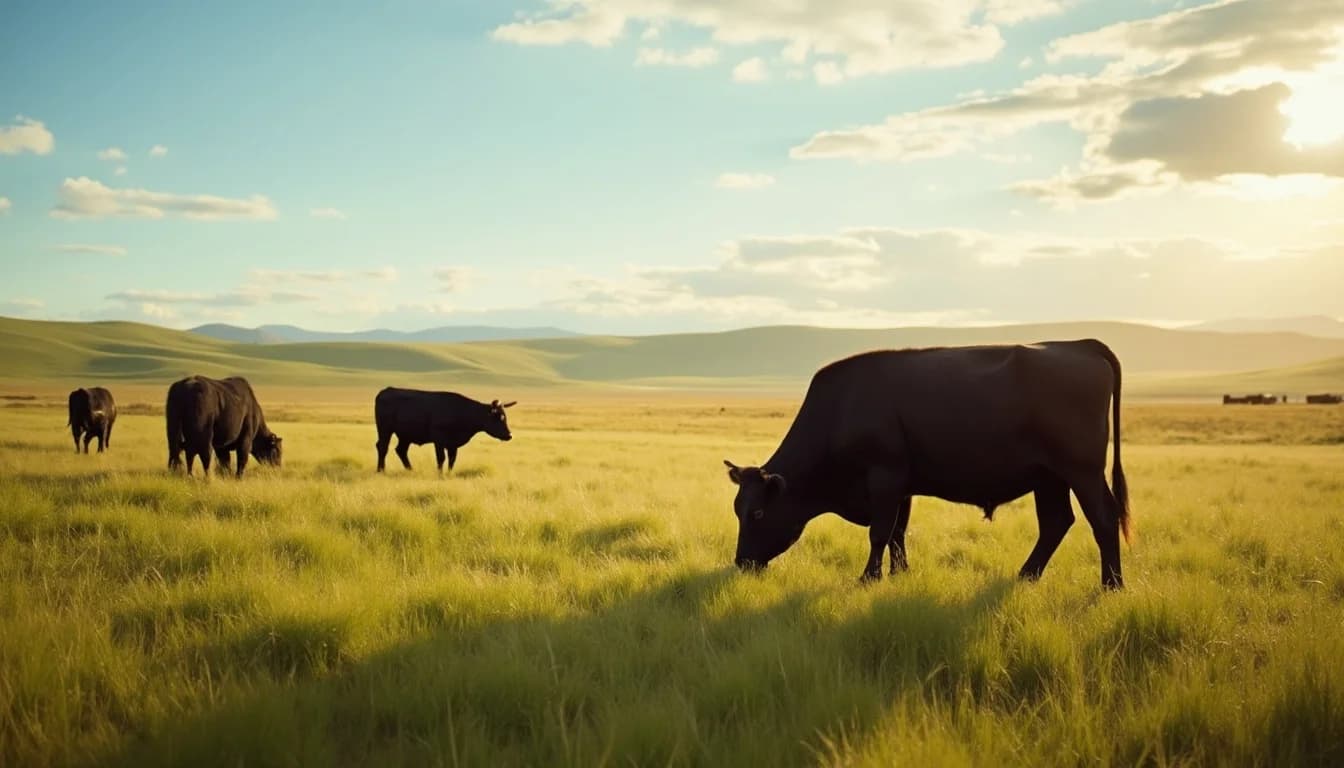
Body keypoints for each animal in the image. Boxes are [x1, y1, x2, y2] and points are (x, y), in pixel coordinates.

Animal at [374, 387, 515, 473]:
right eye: (499, 417)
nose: (509, 435)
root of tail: (386, 390)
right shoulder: (439, 439)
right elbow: (441, 458)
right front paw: (440, 474)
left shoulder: (453, 444)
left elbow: (452, 459)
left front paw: (449, 473)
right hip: (385, 429)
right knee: (382, 447)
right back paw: (381, 470)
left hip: (405, 435)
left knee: (401, 450)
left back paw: (410, 470)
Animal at [724, 338, 1132, 590]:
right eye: (737, 509)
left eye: (758, 512)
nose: (741, 562)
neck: (840, 409)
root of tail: (1081, 345)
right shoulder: (902, 486)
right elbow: (898, 532)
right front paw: (900, 573)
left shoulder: (884, 479)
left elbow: (880, 532)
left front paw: (868, 578)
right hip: (1049, 479)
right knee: (1056, 523)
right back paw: (1025, 576)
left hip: (1082, 472)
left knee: (1102, 518)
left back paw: (1111, 585)